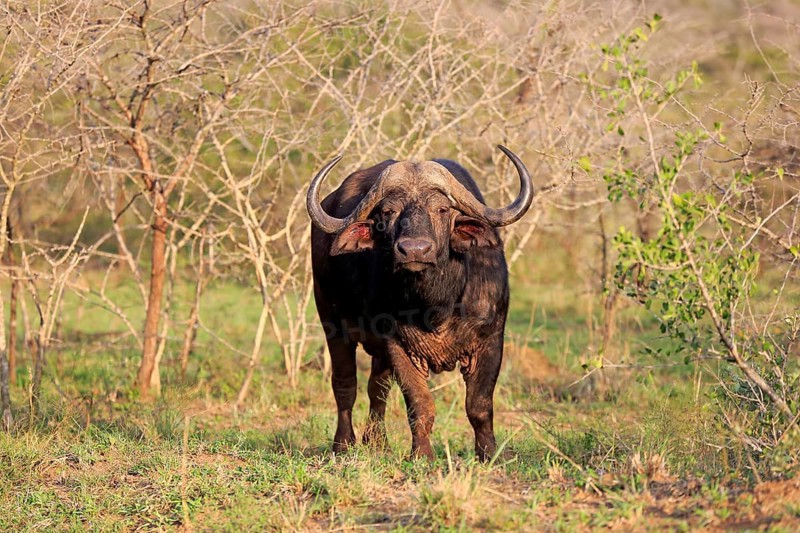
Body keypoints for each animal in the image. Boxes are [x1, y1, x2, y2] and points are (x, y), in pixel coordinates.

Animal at [307, 146, 533, 460]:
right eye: (388, 212)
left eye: (442, 210)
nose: (414, 250)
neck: (436, 305)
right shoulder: (397, 346)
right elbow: (420, 404)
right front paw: (422, 455)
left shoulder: (491, 339)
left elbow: (479, 405)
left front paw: (488, 453)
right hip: (334, 326)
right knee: (345, 386)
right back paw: (343, 445)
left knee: (376, 388)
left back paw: (377, 443)